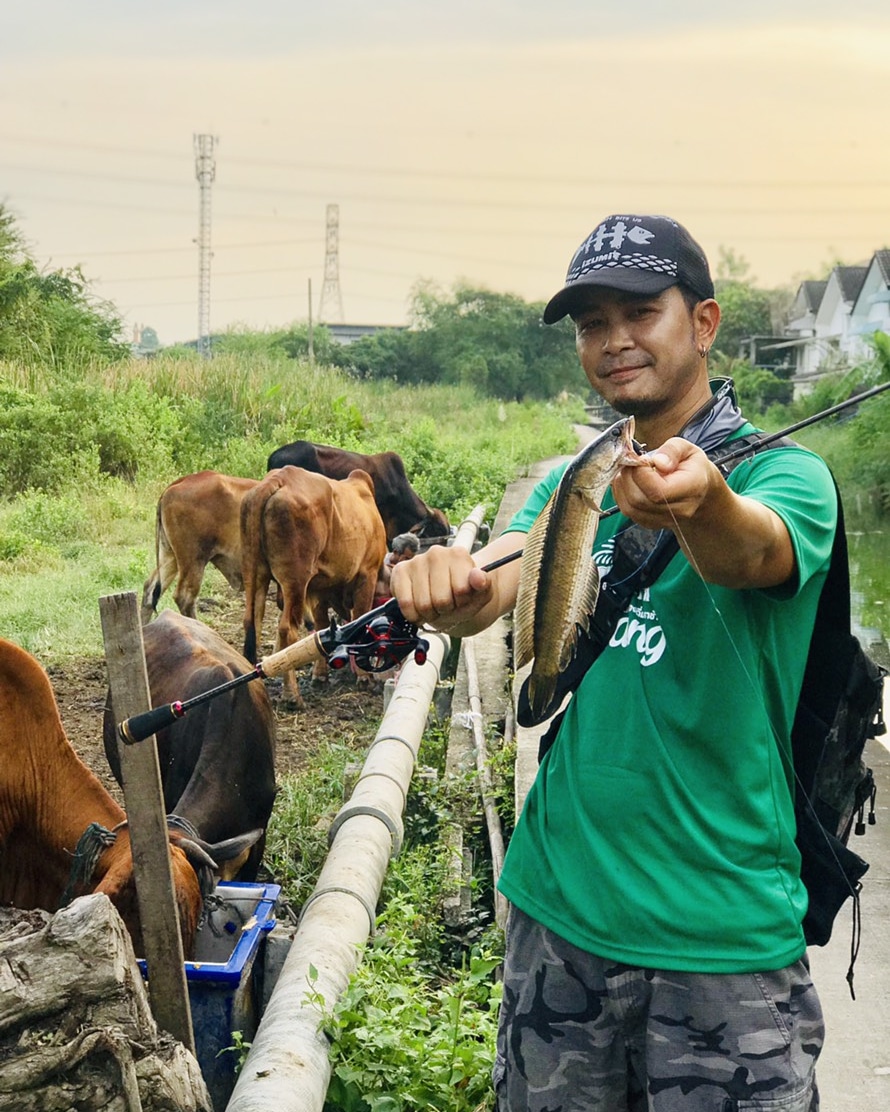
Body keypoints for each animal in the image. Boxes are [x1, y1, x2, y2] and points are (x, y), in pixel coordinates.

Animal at [240, 467, 384, 707]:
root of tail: (278, 479)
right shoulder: (367, 573)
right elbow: (359, 616)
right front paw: (364, 677)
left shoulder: (319, 589)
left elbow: (321, 626)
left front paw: (320, 675)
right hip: (295, 581)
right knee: (287, 630)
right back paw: (292, 696)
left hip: (256, 574)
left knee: (253, 625)